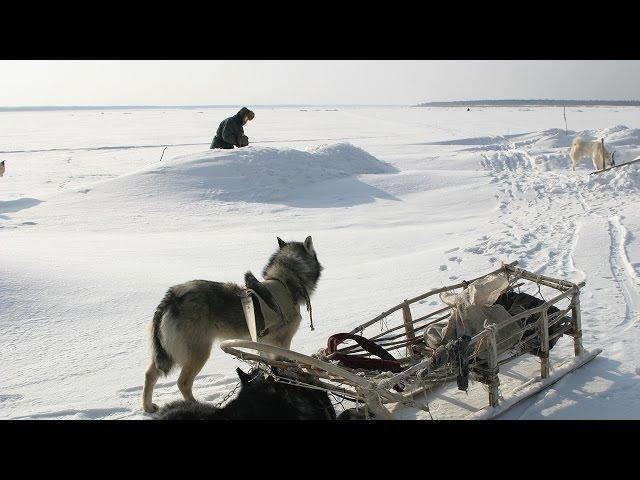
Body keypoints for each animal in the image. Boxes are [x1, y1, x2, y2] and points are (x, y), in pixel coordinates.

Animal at [142, 235, 322, 412]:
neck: (283, 282)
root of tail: (171, 297)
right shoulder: (281, 343)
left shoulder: (263, 343)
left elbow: (267, 366)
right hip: (198, 353)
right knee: (183, 383)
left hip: (167, 354)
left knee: (150, 374)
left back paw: (148, 407)